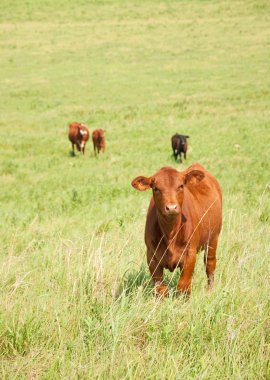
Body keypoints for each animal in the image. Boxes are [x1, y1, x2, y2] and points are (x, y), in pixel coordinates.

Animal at [131, 163, 221, 296]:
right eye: (156, 188)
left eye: (181, 186)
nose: (171, 207)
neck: (170, 233)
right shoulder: (152, 257)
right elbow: (161, 289)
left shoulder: (190, 254)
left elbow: (183, 286)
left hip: (213, 238)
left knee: (209, 264)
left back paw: (210, 290)